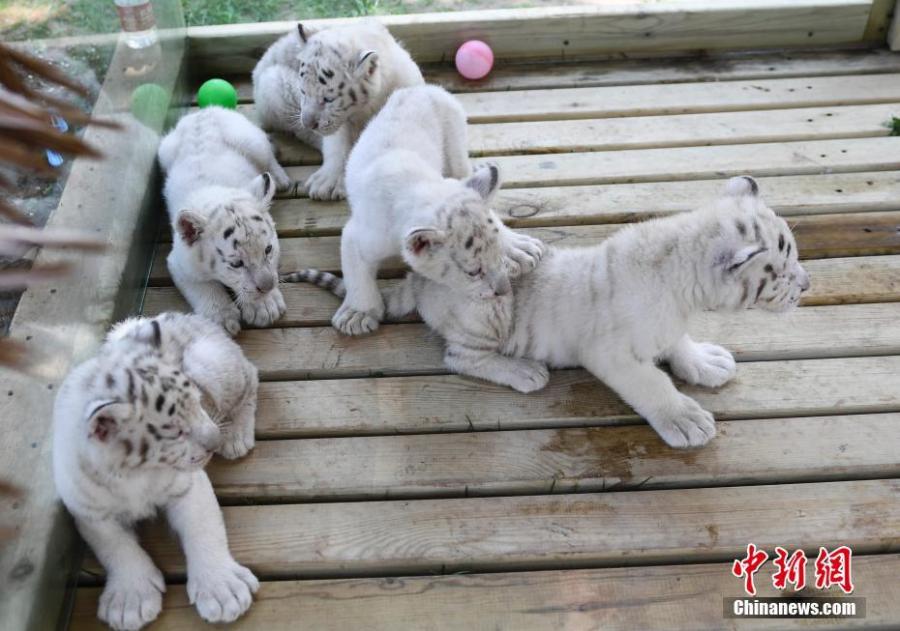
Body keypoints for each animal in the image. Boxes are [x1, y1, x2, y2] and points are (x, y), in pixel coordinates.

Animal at [52, 312, 259, 630]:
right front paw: (130, 598)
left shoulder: (189, 486)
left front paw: (221, 588)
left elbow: (204, 529)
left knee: (252, 374)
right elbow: (115, 546)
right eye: (175, 431)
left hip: (211, 362)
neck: (133, 474)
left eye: (198, 401)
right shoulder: (88, 512)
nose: (214, 443)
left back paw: (237, 435)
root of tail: (191, 317)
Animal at [158, 107, 289, 335]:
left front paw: (265, 305)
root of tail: (203, 111)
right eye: (236, 263)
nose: (268, 286)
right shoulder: (179, 263)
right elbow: (204, 287)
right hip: (164, 154)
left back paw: (279, 179)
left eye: (268, 250)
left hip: (252, 141)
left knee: (268, 158)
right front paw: (221, 316)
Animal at [251, 19, 424, 200]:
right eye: (303, 91)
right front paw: (329, 182)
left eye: (328, 99)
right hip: (273, 84)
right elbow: (337, 144)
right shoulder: (337, 123)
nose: (308, 123)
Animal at [284, 176, 810, 449]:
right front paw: (683, 419)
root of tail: (422, 277)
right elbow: (653, 384)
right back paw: (523, 371)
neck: (684, 285)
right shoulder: (610, 354)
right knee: (459, 358)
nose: (806, 285)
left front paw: (704, 362)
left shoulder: (669, 327)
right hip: (486, 312)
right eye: (781, 269)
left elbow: (679, 345)